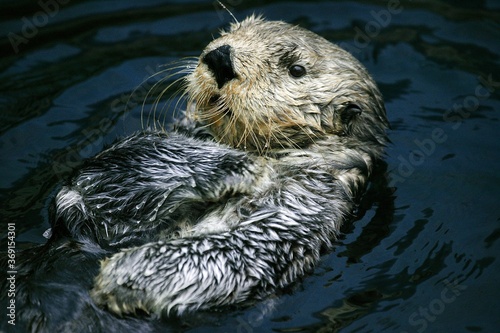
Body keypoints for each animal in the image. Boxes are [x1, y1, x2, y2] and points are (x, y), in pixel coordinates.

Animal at [1, 14, 388, 330]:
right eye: (232, 30)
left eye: (296, 69)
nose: (221, 57)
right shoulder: (92, 197)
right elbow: (123, 167)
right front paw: (236, 164)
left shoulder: (306, 206)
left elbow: (238, 252)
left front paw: (122, 275)